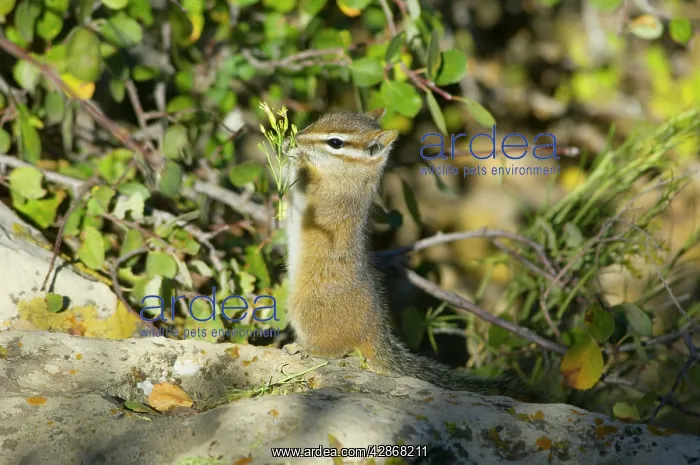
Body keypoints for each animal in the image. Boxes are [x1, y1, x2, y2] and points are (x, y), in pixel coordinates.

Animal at [282, 108, 544, 402]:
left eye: (335, 143)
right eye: (323, 118)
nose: (299, 138)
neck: (349, 175)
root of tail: (374, 332)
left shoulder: (330, 199)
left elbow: (308, 190)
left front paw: (296, 158)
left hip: (304, 308)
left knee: (336, 350)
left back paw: (305, 348)